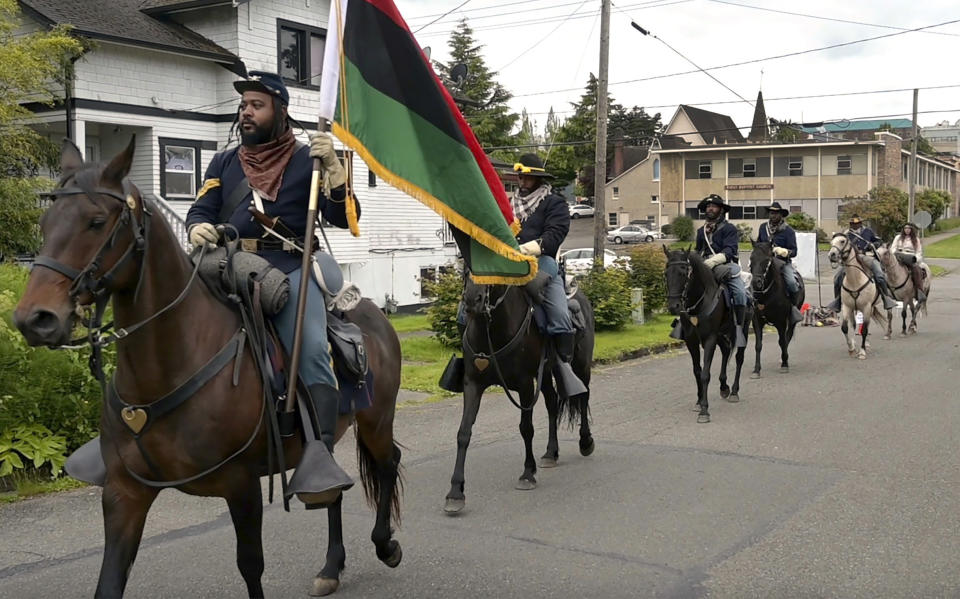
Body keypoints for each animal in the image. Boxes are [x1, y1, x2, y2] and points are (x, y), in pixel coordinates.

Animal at [15, 142, 404, 599]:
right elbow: (109, 581)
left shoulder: (242, 485)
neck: (168, 367)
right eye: (44, 223)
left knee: (387, 463)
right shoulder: (123, 494)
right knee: (332, 489)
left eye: (95, 222)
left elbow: (251, 566)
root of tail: (374, 316)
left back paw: (385, 545)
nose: (34, 319)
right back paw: (331, 565)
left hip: (377, 418)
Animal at [444, 274, 592, 512]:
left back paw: (586, 442)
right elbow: (464, 432)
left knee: (583, 396)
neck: (492, 331)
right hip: (546, 372)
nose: (472, 300)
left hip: (581, 366)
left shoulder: (525, 385)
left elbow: (526, 428)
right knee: (552, 403)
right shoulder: (473, 384)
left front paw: (527, 474)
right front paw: (455, 492)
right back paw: (551, 453)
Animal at [664, 246, 752, 424]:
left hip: (742, 330)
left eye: (684, 272)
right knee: (726, 350)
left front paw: (704, 410)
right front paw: (699, 402)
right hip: (720, 334)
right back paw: (724, 387)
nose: (673, 306)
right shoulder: (691, 340)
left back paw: (734, 391)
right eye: (666, 273)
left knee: (739, 358)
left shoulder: (709, 338)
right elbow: (697, 371)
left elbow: (705, 373)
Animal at [752, 241, 804, 378]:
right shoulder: (757, 321)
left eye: (766, 260)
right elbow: (758, 345)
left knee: (787, 336)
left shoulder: (781, 322)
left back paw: (784, 358)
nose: (755, 283)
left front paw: (784, 364)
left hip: (791, 320)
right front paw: (756, 370)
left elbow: (782, 341)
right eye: (751, 258)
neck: (767, 295)